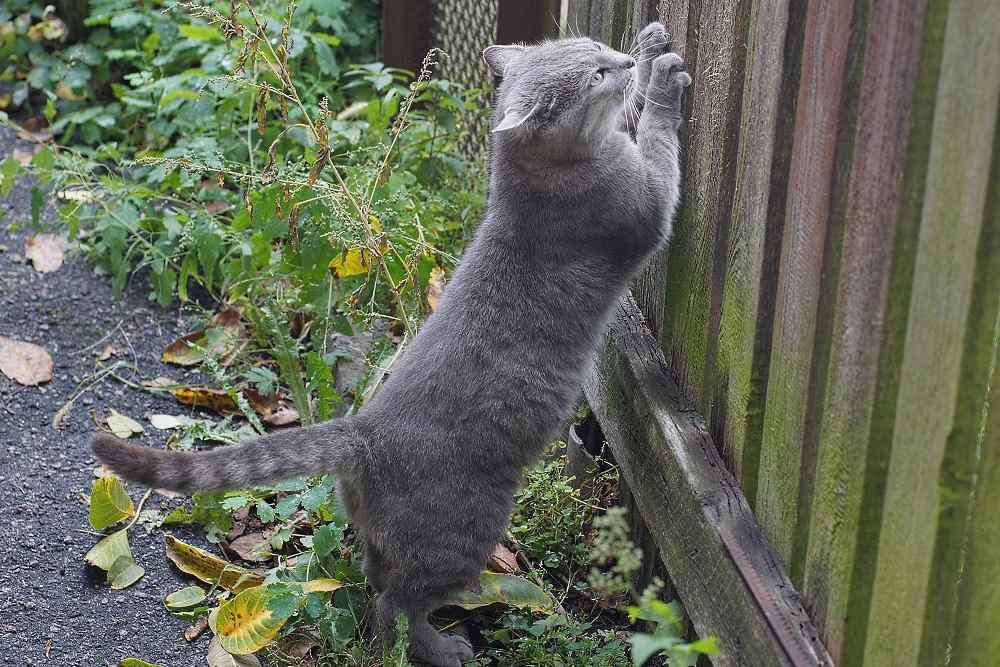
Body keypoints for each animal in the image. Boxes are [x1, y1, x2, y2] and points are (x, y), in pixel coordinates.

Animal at [90, 22, 692, 667]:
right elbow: (656, 140)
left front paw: (651, 44)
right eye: (595, 74)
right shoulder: (643, 205)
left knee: (375, 583)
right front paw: (662, 78)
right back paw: (445, 647)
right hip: (463, 533)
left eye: (598, 50)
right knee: (395, 608)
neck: (521, 183)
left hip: (384, 537)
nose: (621, 59)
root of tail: (364, 432)